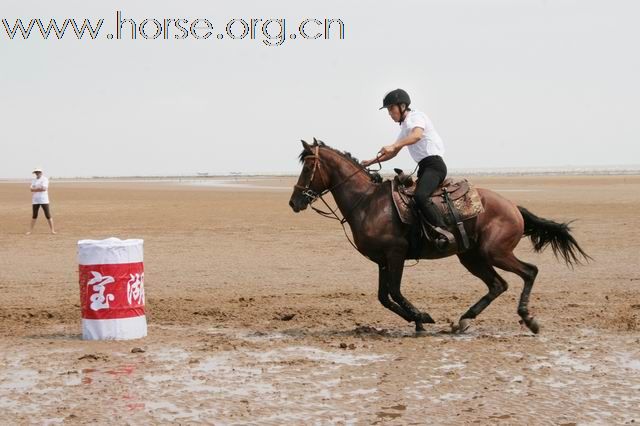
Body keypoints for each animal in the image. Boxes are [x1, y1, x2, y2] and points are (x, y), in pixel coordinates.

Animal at [288, 139, 592, 332]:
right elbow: (384, 297)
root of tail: (513, 207)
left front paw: (422, 318)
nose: (294, 202)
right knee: (498, 284)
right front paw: (418, 321)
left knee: (529, 272)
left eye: (308, 167)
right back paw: (463, 321)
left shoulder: (395, 254)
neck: (367, 202)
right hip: (471, 257)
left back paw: (528, 319)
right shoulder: (382, 261)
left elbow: (394, 292)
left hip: (495, 252)